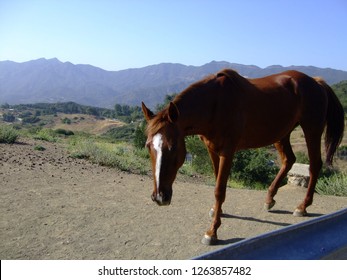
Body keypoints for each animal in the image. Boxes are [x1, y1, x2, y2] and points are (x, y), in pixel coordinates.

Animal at [142, 68, 346, 245]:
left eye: (173, 146)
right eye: (148, 146)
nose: (159, 197)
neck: (215, 104)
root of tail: (316, 82)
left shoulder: (227, 151)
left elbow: (219, 190)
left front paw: (212, 232)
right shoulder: (212, 149)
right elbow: (217, 181)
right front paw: (217, 211)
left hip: (312, 129)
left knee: (315, 164)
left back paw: (302, 206)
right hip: (282, 133)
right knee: (289, 160)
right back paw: (269, 199)